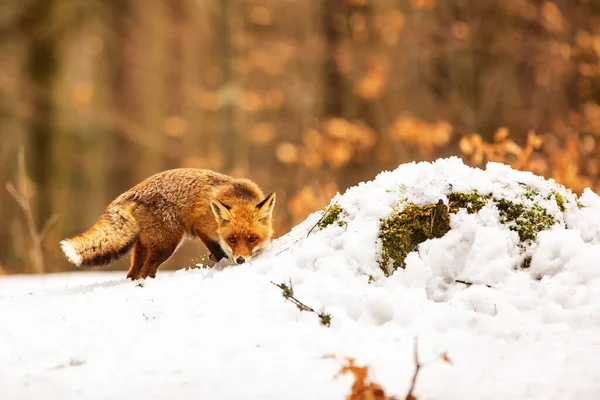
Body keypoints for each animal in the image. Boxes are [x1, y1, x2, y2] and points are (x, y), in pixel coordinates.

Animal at [59, 168, 276, 278]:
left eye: (252, 239)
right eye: (232, 239)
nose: (240, 260)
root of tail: (132, 191)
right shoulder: (201, 227)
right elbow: (218, 250)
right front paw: (222, 260)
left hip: (143, 246)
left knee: (133, 273)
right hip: (166, 245)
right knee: (145, 271)